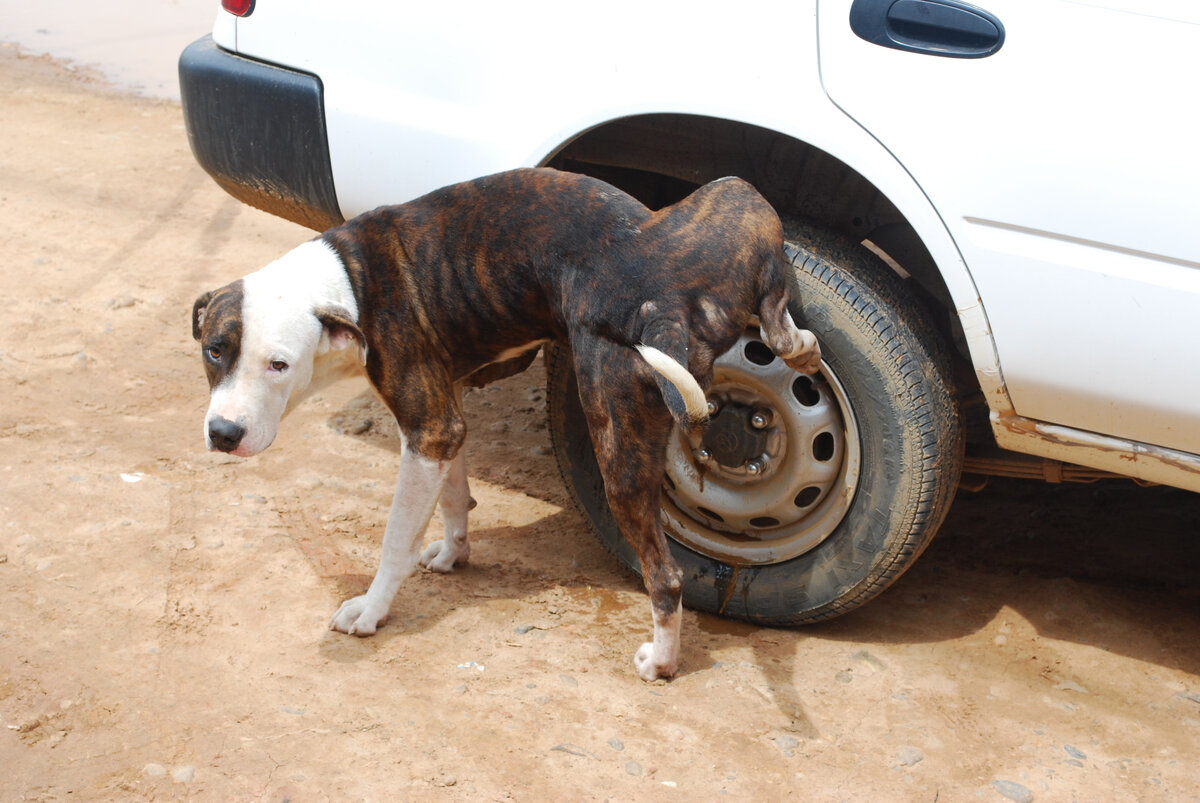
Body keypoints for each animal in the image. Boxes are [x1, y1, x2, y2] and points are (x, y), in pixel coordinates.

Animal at [192, 165, 820, 681]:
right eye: (214, 350)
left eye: (279, 365)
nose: (223, 434)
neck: (346, 281)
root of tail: (668, 297)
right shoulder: (444, 421)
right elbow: (453, 496)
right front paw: (454, 553)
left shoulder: (427, 429)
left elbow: (396, 537)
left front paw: (371, 610)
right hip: (735, 193)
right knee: (778, 314)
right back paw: (802, 347)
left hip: (616, 440)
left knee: (665, 577)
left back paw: (661, 662)